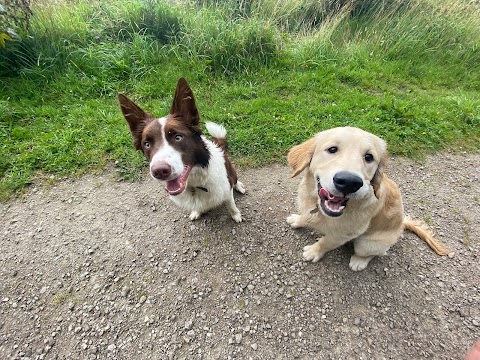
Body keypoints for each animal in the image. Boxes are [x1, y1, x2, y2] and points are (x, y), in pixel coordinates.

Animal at [118, 77, 246, 221]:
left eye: (178, 137)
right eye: (147, 144)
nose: (159, 171)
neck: (194, 184)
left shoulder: (226, 189)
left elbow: (231, 204)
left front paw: (236, 215)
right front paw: (197, 211)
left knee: (235, 180)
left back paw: (239, 186)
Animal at [286, 126, 448, 270]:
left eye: (369, 157)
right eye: (332, 149)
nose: (349, 182)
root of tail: (402, 223)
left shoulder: (342, 235)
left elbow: (325, 242)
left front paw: (314, 252)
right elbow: (306, 217)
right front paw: (298, 220)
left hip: (366, 244)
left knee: (377, 253)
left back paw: (359, 262)